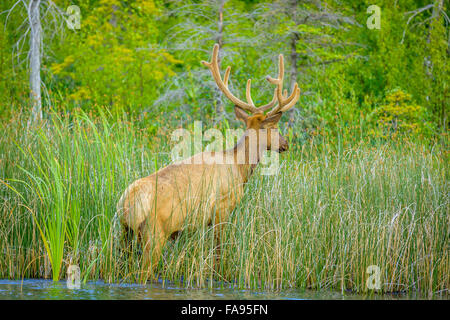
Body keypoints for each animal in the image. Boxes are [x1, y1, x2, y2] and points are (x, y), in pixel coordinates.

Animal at [116, 43, 300, 278]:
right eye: (275, 128)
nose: (286, 144)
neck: (239, 167)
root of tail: (129, 203)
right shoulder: (221, 208)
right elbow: (218, 252)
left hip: (124, 233)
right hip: (154, 233)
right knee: (142, 272)